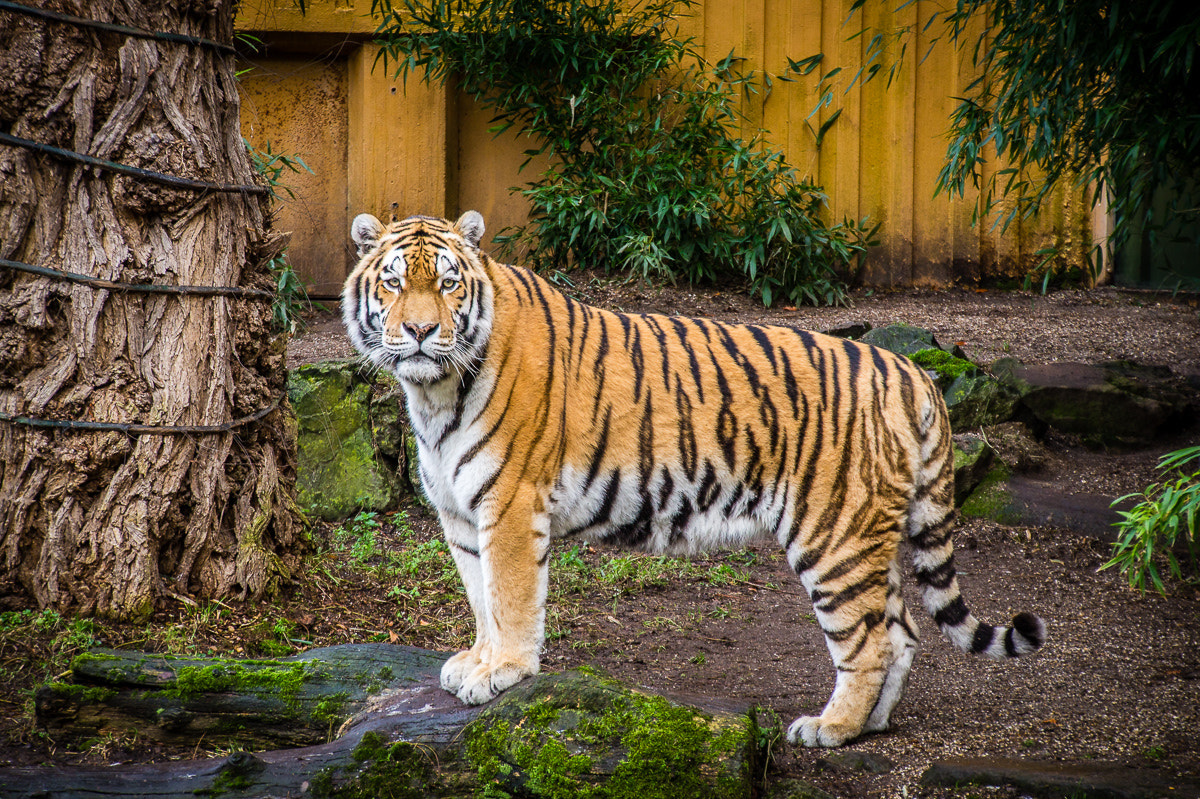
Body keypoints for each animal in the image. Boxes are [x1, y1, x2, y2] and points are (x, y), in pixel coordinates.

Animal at [341, 210, 1045, 747]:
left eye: (449, 284)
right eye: (394, 283)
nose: (421, 330)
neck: (433, 394)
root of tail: (912, 371)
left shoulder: (510, 505)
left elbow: (510, 599)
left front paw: (504, 673)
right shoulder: (461, 514)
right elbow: (480, 597)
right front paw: (477, 663)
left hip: (834, 534)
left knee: (868, 641)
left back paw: (830, 729)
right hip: (871, 537)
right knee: (901, 634)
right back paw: (870, 725)